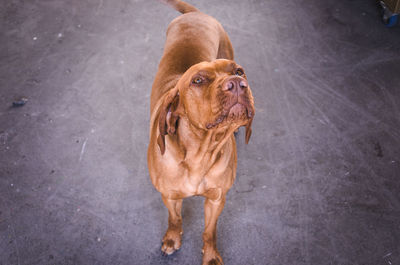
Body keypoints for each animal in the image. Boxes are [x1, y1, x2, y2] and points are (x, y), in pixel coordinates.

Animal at [148, 1, 255, 262]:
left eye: (239, 71)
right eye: (197, 80)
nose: (238, 84)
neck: (201, 151)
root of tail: (195, 14)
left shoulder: (217, 199)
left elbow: (209, 231)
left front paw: (211, 256)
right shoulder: (170, 196)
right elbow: (175, 219)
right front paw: (172, 238)